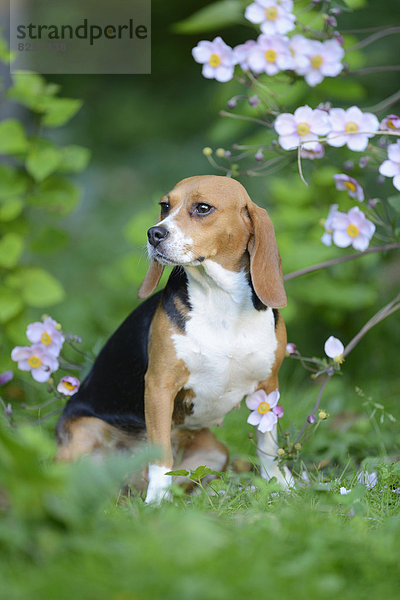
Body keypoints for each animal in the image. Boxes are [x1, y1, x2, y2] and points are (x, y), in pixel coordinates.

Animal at [56, 175, 292, 502]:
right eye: (165, 206)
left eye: (203, 208)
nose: (154, 233)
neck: (220, 300)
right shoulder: (159, 386)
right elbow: (160, 454)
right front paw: (157, 502)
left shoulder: (268, 387)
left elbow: (267, 444)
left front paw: (278, 484)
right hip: (84, 434)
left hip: (215, 452)